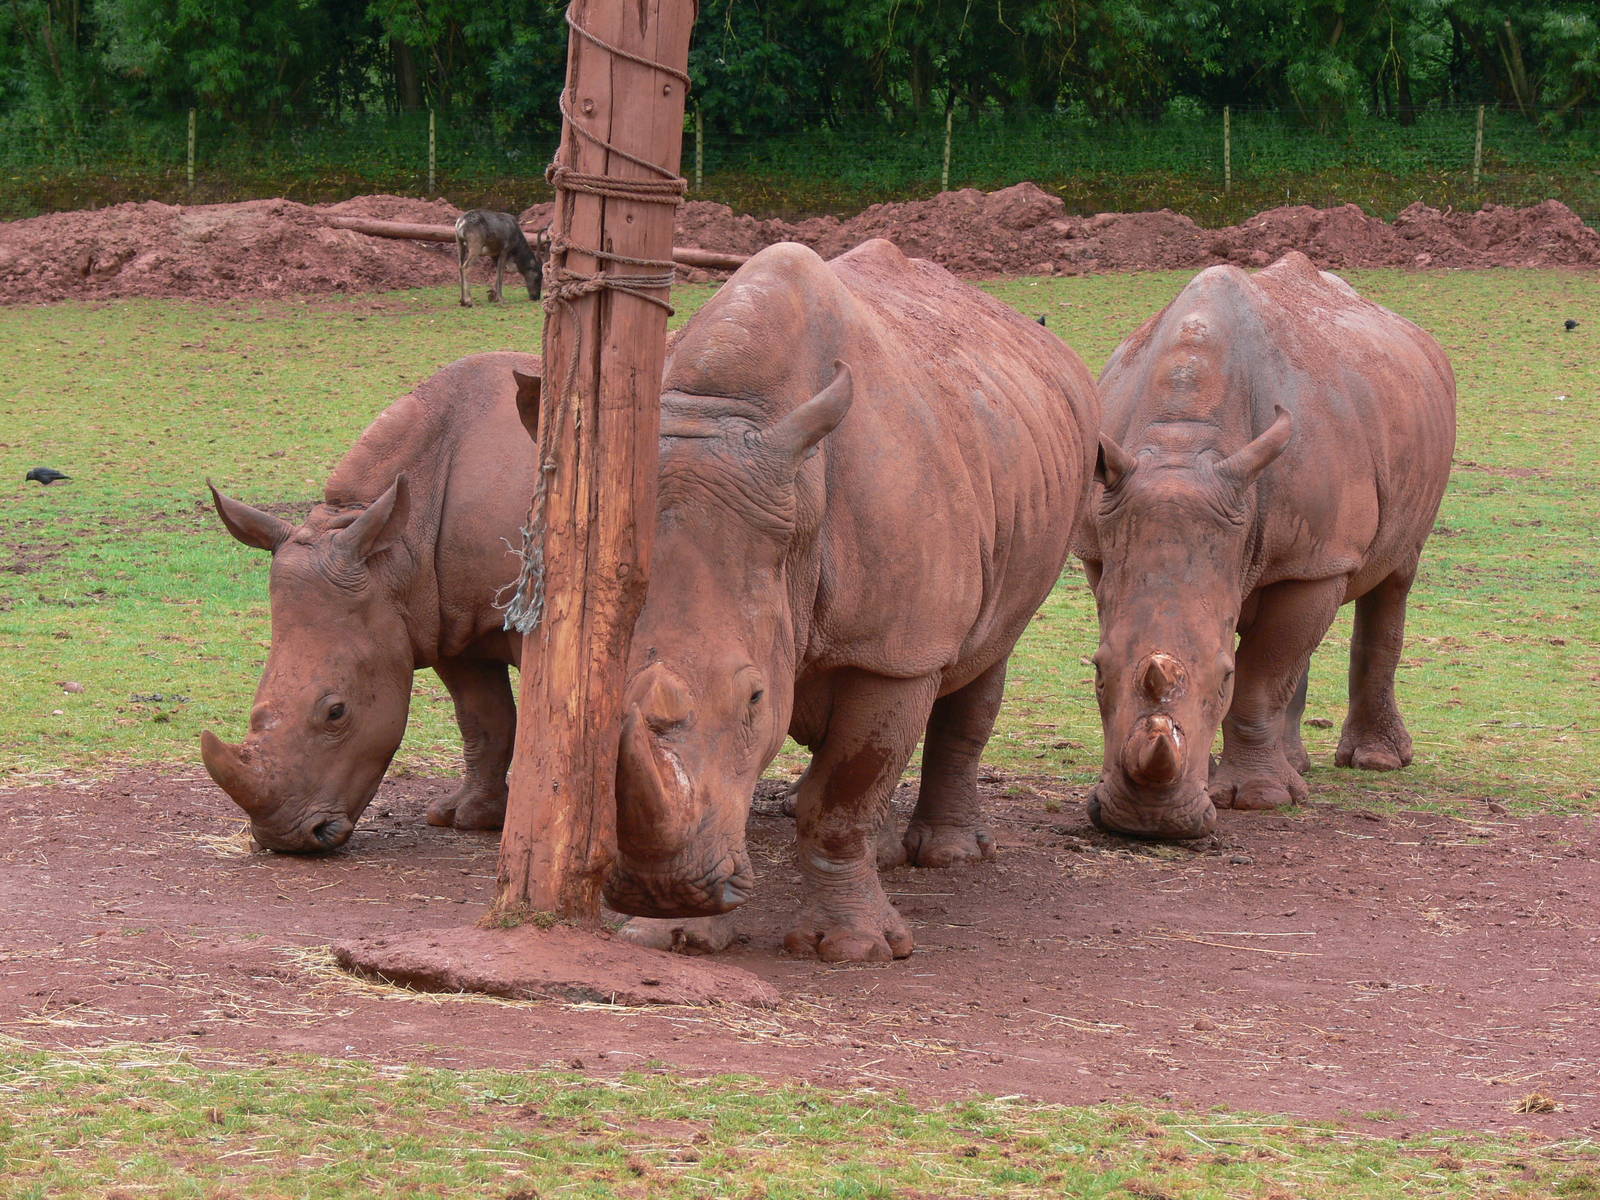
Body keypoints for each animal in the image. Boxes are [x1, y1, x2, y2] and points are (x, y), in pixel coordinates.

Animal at [200, 352, 543, 852]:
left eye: (336, 712)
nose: (285, 839)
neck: (393, 557)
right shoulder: (443, 619)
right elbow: (483, 718)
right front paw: (466, 818)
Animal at [597, 239, 1100, 963]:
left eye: (753, 698)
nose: (659, 891)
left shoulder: (895, 652)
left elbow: (844, 797)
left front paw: (854, 949)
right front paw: (667, 936)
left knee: (989, 652)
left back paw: (947, 856)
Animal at [1076, 252, 1456, 841]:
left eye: (1223, 679)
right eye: (1095, 672)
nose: (1148, 823)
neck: (1183, 442)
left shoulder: (1317, 559)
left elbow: (1261, 675)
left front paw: (1259, 800)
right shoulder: (1102, 546)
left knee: (1394, 578)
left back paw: (1375, 762)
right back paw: (1293, 764)